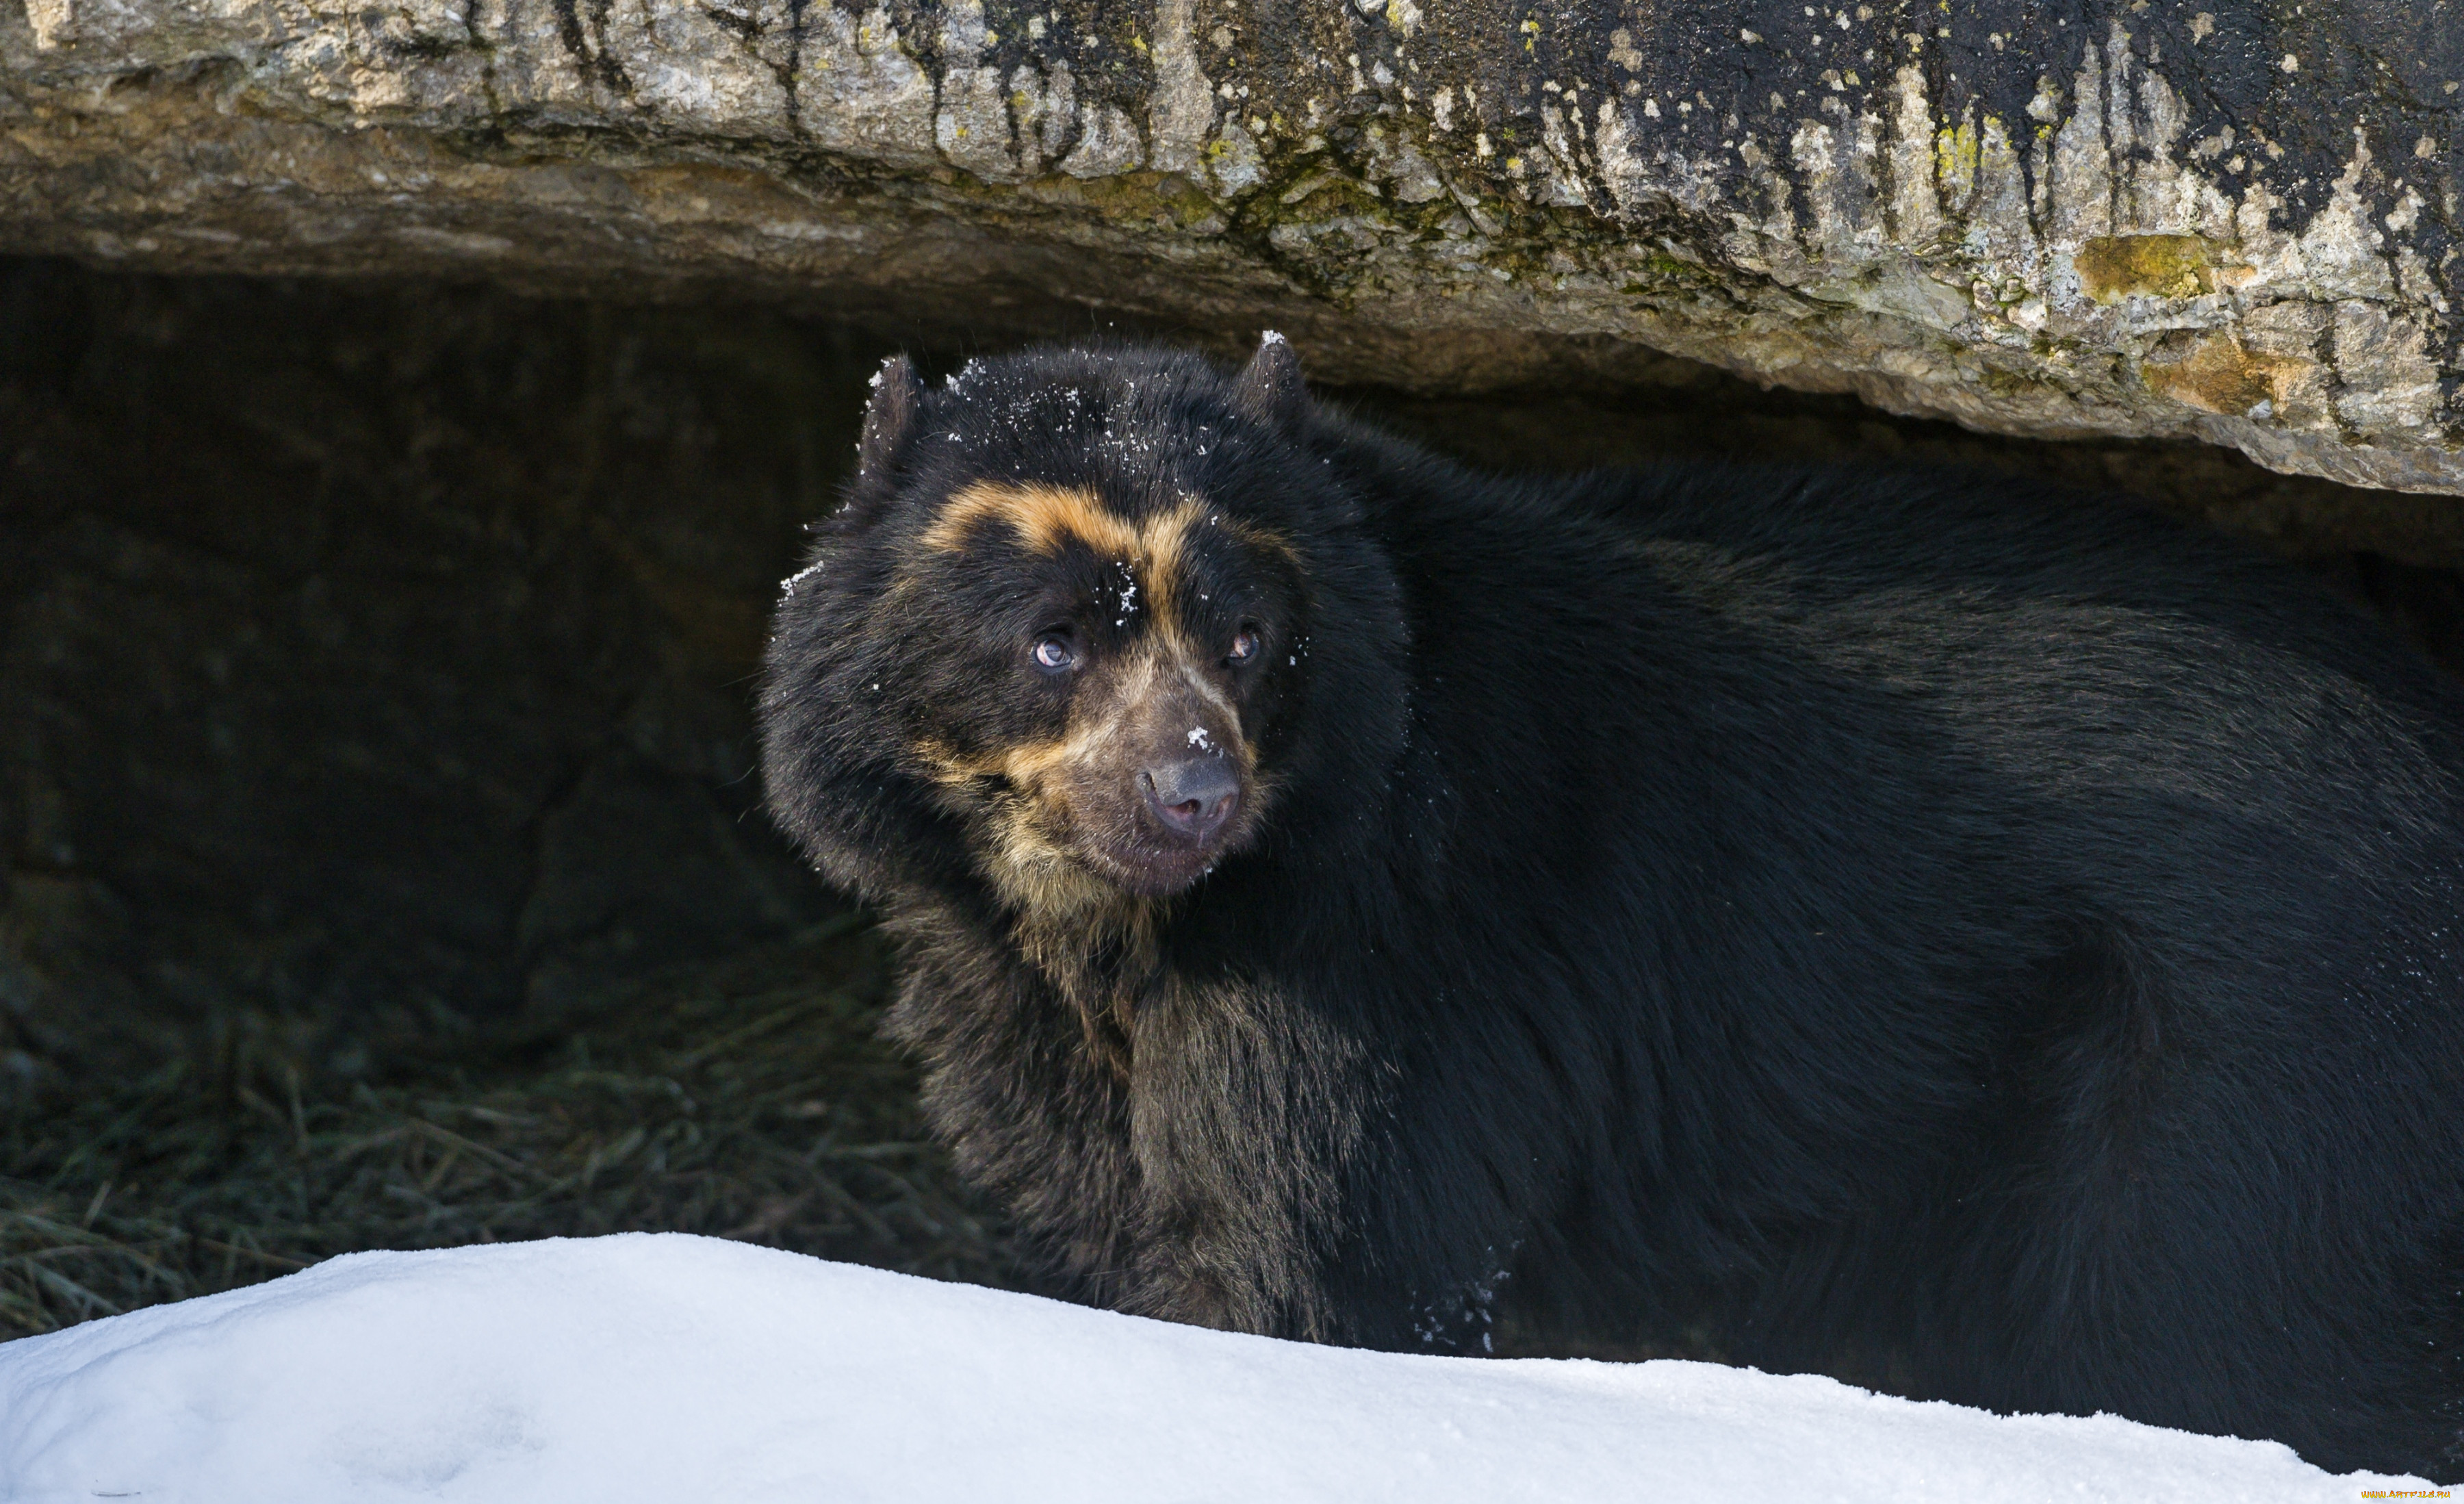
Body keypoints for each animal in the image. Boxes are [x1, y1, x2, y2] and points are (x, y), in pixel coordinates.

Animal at [758, 333, 2464, 1469]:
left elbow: (1326, 1240)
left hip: (2248, 1079)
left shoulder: (1386, 953)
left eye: (1246, 637)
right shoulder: (1021, 1009)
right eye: (1055, 638)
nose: (1193, 795)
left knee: (2213, 1325)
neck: (1105, 923)